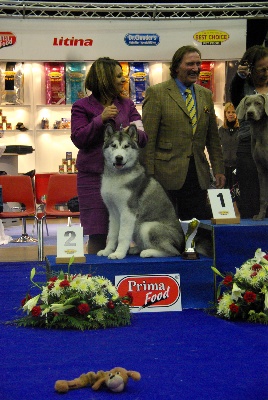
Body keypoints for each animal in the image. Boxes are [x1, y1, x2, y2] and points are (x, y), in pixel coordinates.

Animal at [97, 124, 185, 260]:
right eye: (114, 145)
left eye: (126, 146)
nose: (119, 158)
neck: (116, 177)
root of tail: (183, 245)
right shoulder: (113, 212)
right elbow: (112, 235)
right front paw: (107, 251)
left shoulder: (128, 212)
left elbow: (122, 236)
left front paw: (118, 253)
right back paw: (136, 249)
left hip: (147, 226)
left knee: (172, 252)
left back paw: (148, 252)